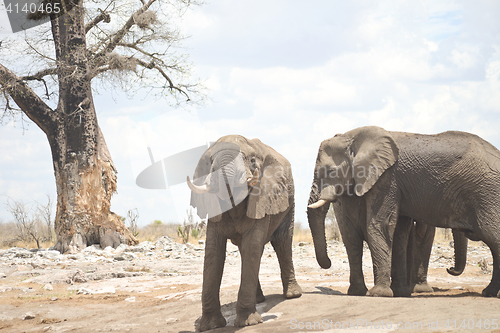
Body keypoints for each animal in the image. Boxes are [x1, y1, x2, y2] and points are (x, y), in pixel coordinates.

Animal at [188, 134, 302, 330]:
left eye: (252, 160)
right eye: (210, 161)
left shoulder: (263, 195)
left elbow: (252, 247)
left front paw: (249, 323)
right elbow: (213, 251)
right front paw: (211, 326)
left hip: (289, 201)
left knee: (282, 243)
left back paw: (293, 295)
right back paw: (259, 299)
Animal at [306, 126, 498, 296]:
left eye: (330, 171)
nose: (329, 263)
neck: (354, 137)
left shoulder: (387, 178)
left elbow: (381, 225)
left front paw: (380, 294)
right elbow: (391, 231)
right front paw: (395, 293)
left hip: (486, 192)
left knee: (492, 236)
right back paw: (489, 292)